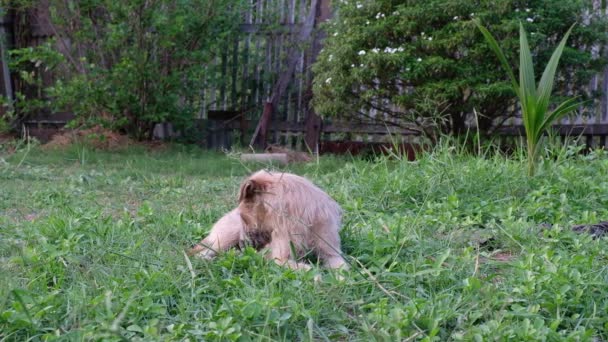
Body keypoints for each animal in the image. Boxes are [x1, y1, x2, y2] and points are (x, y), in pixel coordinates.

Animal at [190, 171, 346, 270]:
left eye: (243, 217)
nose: (243, 245)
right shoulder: (280, 258)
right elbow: (306, 269)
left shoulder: (332, 252)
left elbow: (342, 267)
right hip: (225, 239)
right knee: (202, 253)